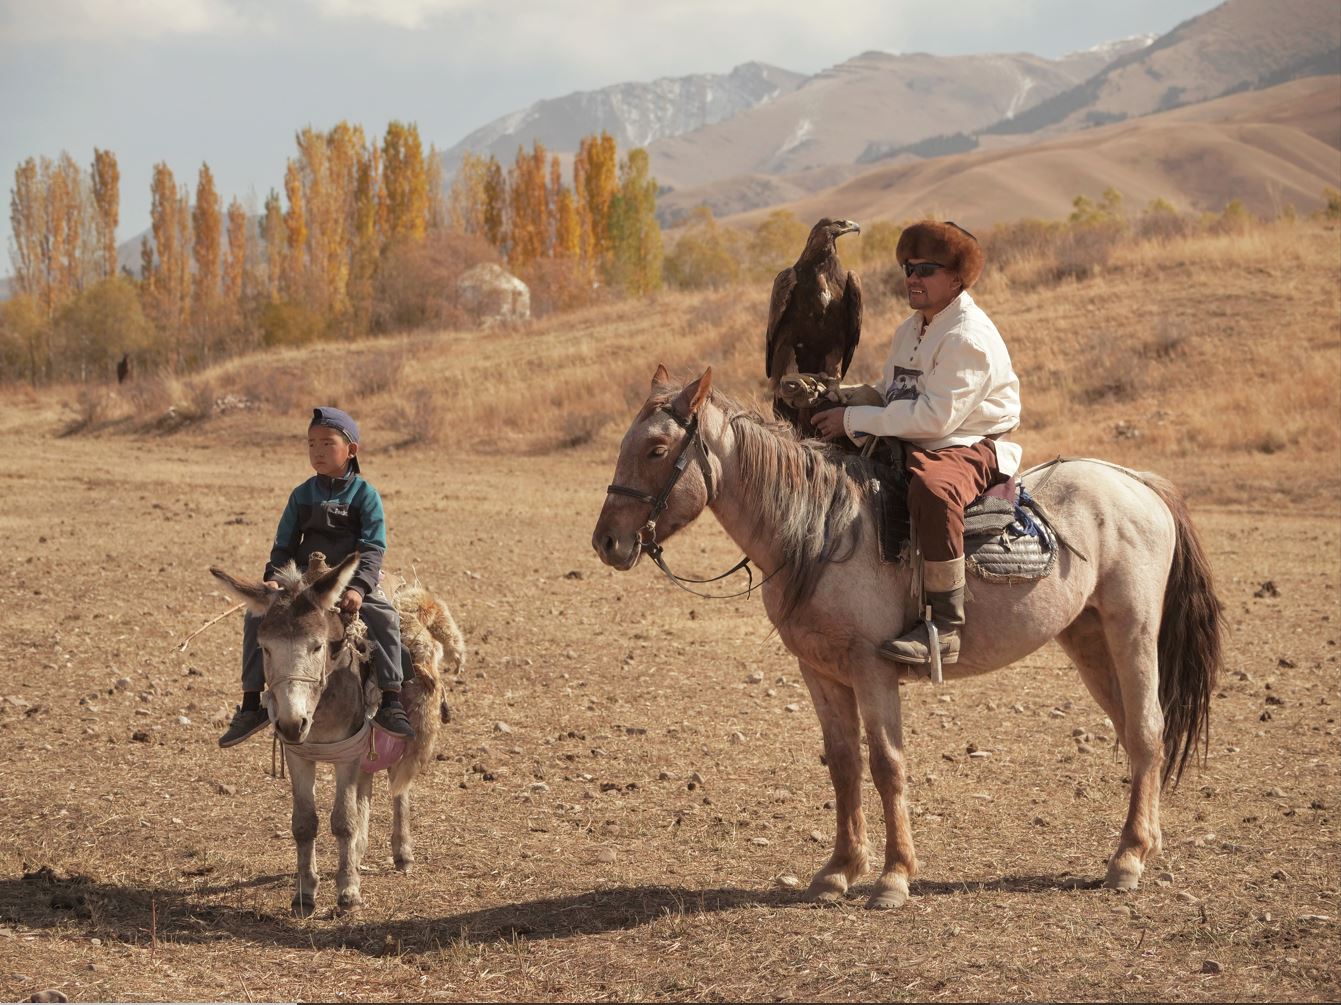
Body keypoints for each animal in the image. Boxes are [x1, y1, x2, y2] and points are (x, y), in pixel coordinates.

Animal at [207, 552, 461, 912]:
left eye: (318, 647)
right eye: (265, 648)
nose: (291, 723)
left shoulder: (347, 755)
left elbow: (343, 821)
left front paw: (348, 892)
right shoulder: (300, 755)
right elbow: (304, 823)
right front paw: (304, 894)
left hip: (405, 736)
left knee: (398, 789)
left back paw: (402, 854)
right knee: (366, 790)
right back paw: (360, 852)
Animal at [592, 367, 1222, 907]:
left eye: (655, 450)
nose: (607, 542)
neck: (821, 531)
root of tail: (1138, 482)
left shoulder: (872, 669)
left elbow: (886, 764)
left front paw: (894, 876)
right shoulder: (819, 671)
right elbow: (844, 763)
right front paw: (839, 870)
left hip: (1132, 630)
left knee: (1146, 729)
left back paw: (1128, 859)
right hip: (1088, 640)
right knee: (1138, 734)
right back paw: (1145, 844)